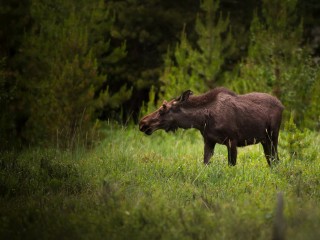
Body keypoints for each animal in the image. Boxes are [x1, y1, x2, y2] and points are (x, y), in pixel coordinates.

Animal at [139, 87, 284, 166]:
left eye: (163, 108)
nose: (143, 123)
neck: (201, 120)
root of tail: (282, 106)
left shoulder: (232, 140)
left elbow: (231, 165)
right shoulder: (209, 141)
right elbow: (205, 163)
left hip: (273, 136)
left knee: (276, 160)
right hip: (265, 140)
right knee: (271, 161)